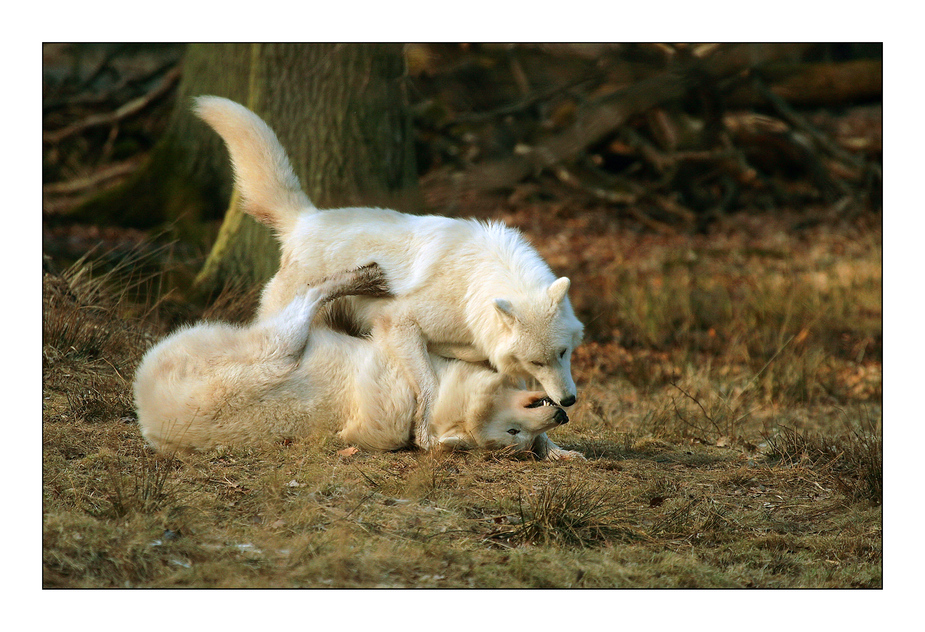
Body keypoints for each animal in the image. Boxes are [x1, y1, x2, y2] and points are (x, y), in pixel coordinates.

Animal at [132, 262, 576, 460]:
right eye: (513, 431)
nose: (560, 416)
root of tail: (145, 401)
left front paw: (556, 450)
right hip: (277, 353)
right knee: (306, 304)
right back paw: (362, 277)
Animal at [195, 96, 584, 446]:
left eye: (563, 353)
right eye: (536, 361)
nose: (569, 401)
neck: (471, 288)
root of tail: (306, 219)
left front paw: (556, 449)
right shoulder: (399, 325)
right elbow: (431, 386)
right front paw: (428, 432)